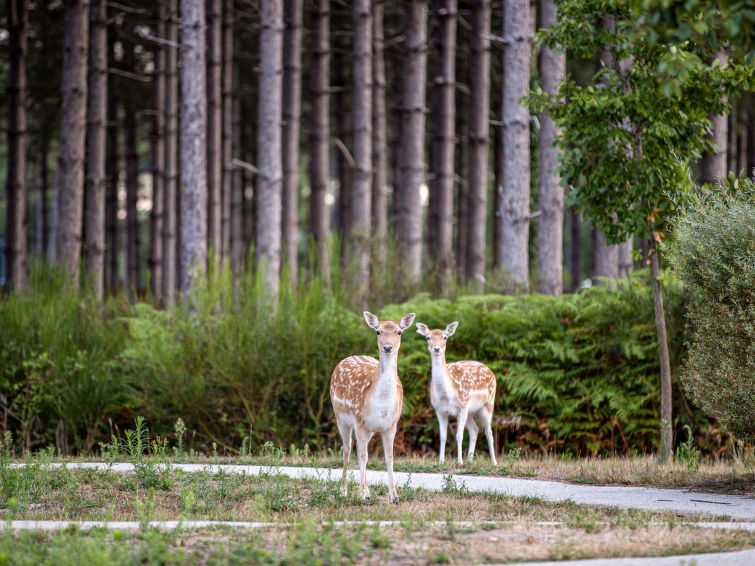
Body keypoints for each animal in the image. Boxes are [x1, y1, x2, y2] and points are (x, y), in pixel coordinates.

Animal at [330, 312, 416, 504]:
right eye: (378, 331)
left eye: (399, 332)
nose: (387, 347)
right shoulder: (359, 419)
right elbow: (363, 456)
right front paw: (362, 495)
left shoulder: (391, 424)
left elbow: (389, 458)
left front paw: (394, 497)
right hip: (340, 416)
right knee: (347, 449)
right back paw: (343, 491)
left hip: (368, 429)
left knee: (357, 450)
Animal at [414, 322, 496, 468]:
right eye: (428, 337)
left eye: (445, 337)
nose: (436, 348)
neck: (447, 395)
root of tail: (491, 371)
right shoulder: (440, 409)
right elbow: (443, 436)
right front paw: (441, 461)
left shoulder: (462, 406)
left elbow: (459, 435)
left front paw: (459, 462)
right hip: (470, 411)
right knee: (475, 429)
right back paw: (470, 460)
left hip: (488, 404)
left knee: (489, 432)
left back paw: (494, 462)